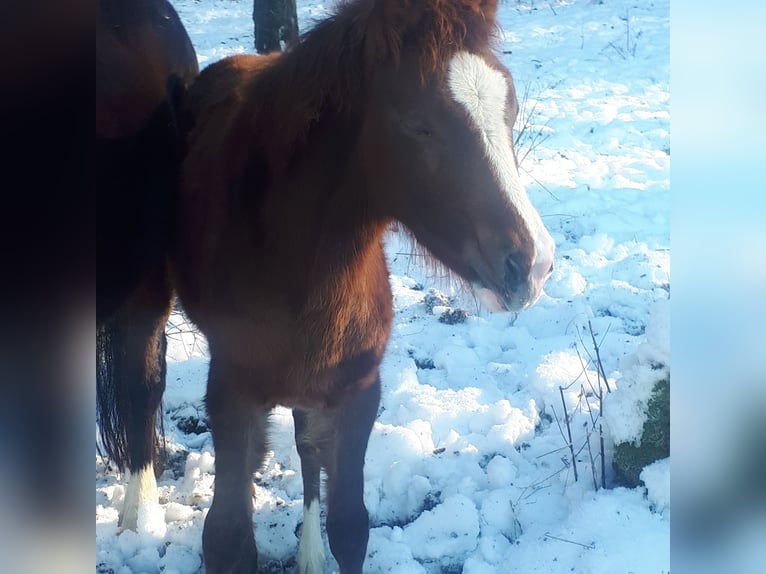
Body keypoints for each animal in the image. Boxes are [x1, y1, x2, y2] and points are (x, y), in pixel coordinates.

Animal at [172, 1, 560, 574]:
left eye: (509, 107)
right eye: (418, 124)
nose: (531, 263)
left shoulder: (359, 389)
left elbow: (350, 527)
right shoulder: (230, 393)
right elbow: (227, 538)